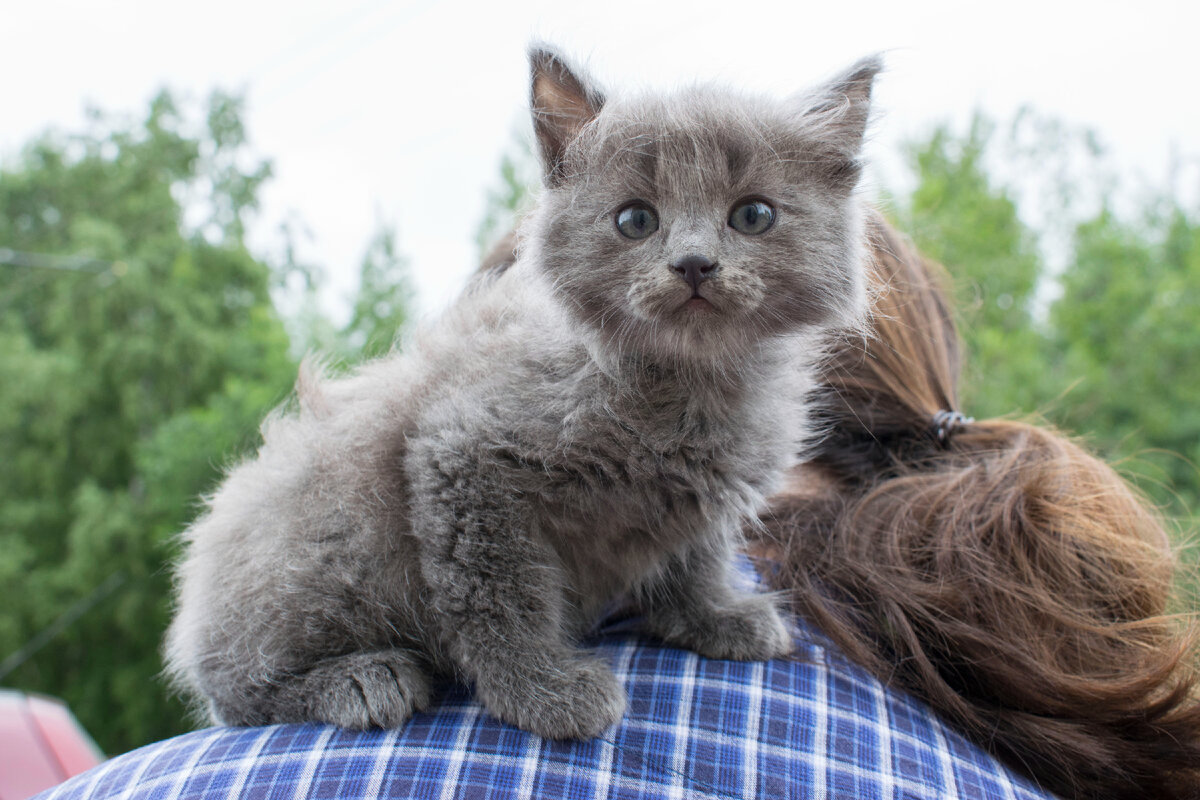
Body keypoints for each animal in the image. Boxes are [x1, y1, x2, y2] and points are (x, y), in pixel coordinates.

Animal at [164, 48, 883, 738]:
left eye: (753, 214)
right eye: (635, 219)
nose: (694, 265)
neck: (685, 389)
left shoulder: (704, 492)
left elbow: (695, 556)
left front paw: (713, 616)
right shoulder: (463, 460)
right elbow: (497, 595)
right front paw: (542, 690)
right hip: (320, 536)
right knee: (233, 688)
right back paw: (360, 679)